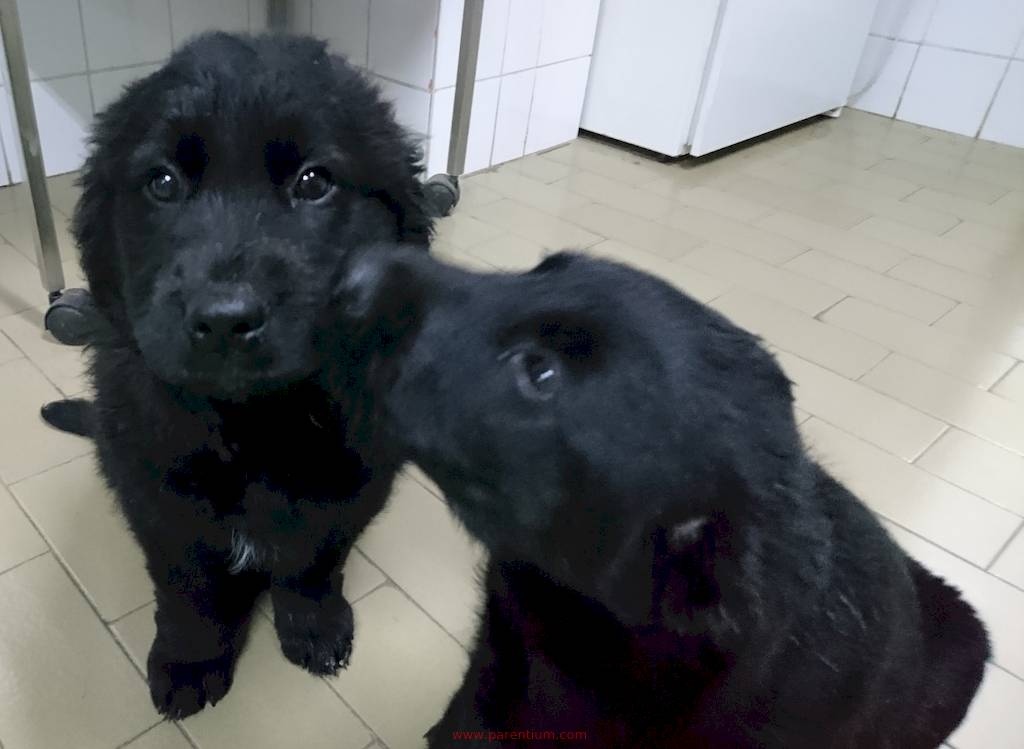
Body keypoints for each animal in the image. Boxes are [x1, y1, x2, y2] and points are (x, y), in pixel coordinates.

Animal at [70, 33, 430, 718]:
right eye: (162, 182)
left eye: (315, 182)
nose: (224, 320)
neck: (255, 421)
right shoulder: (156, 498)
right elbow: (187, 589)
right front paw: (189, 661)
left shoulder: (352, 487)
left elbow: (314, 564)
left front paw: (314, 626)